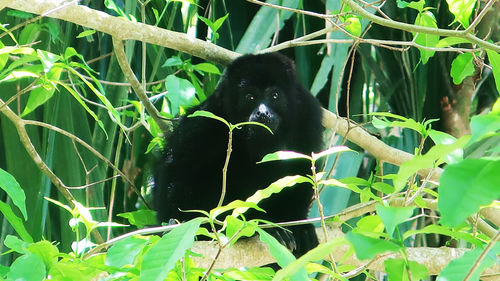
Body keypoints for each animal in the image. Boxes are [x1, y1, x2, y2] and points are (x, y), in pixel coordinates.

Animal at [153, 52, 324, 256]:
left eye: (274, 95)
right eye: (250, 97)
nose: (262, 113)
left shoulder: (308, 114)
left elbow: (303, 168)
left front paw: (299, 228)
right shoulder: (208, 117)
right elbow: (178, 166)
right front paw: (176, 224)